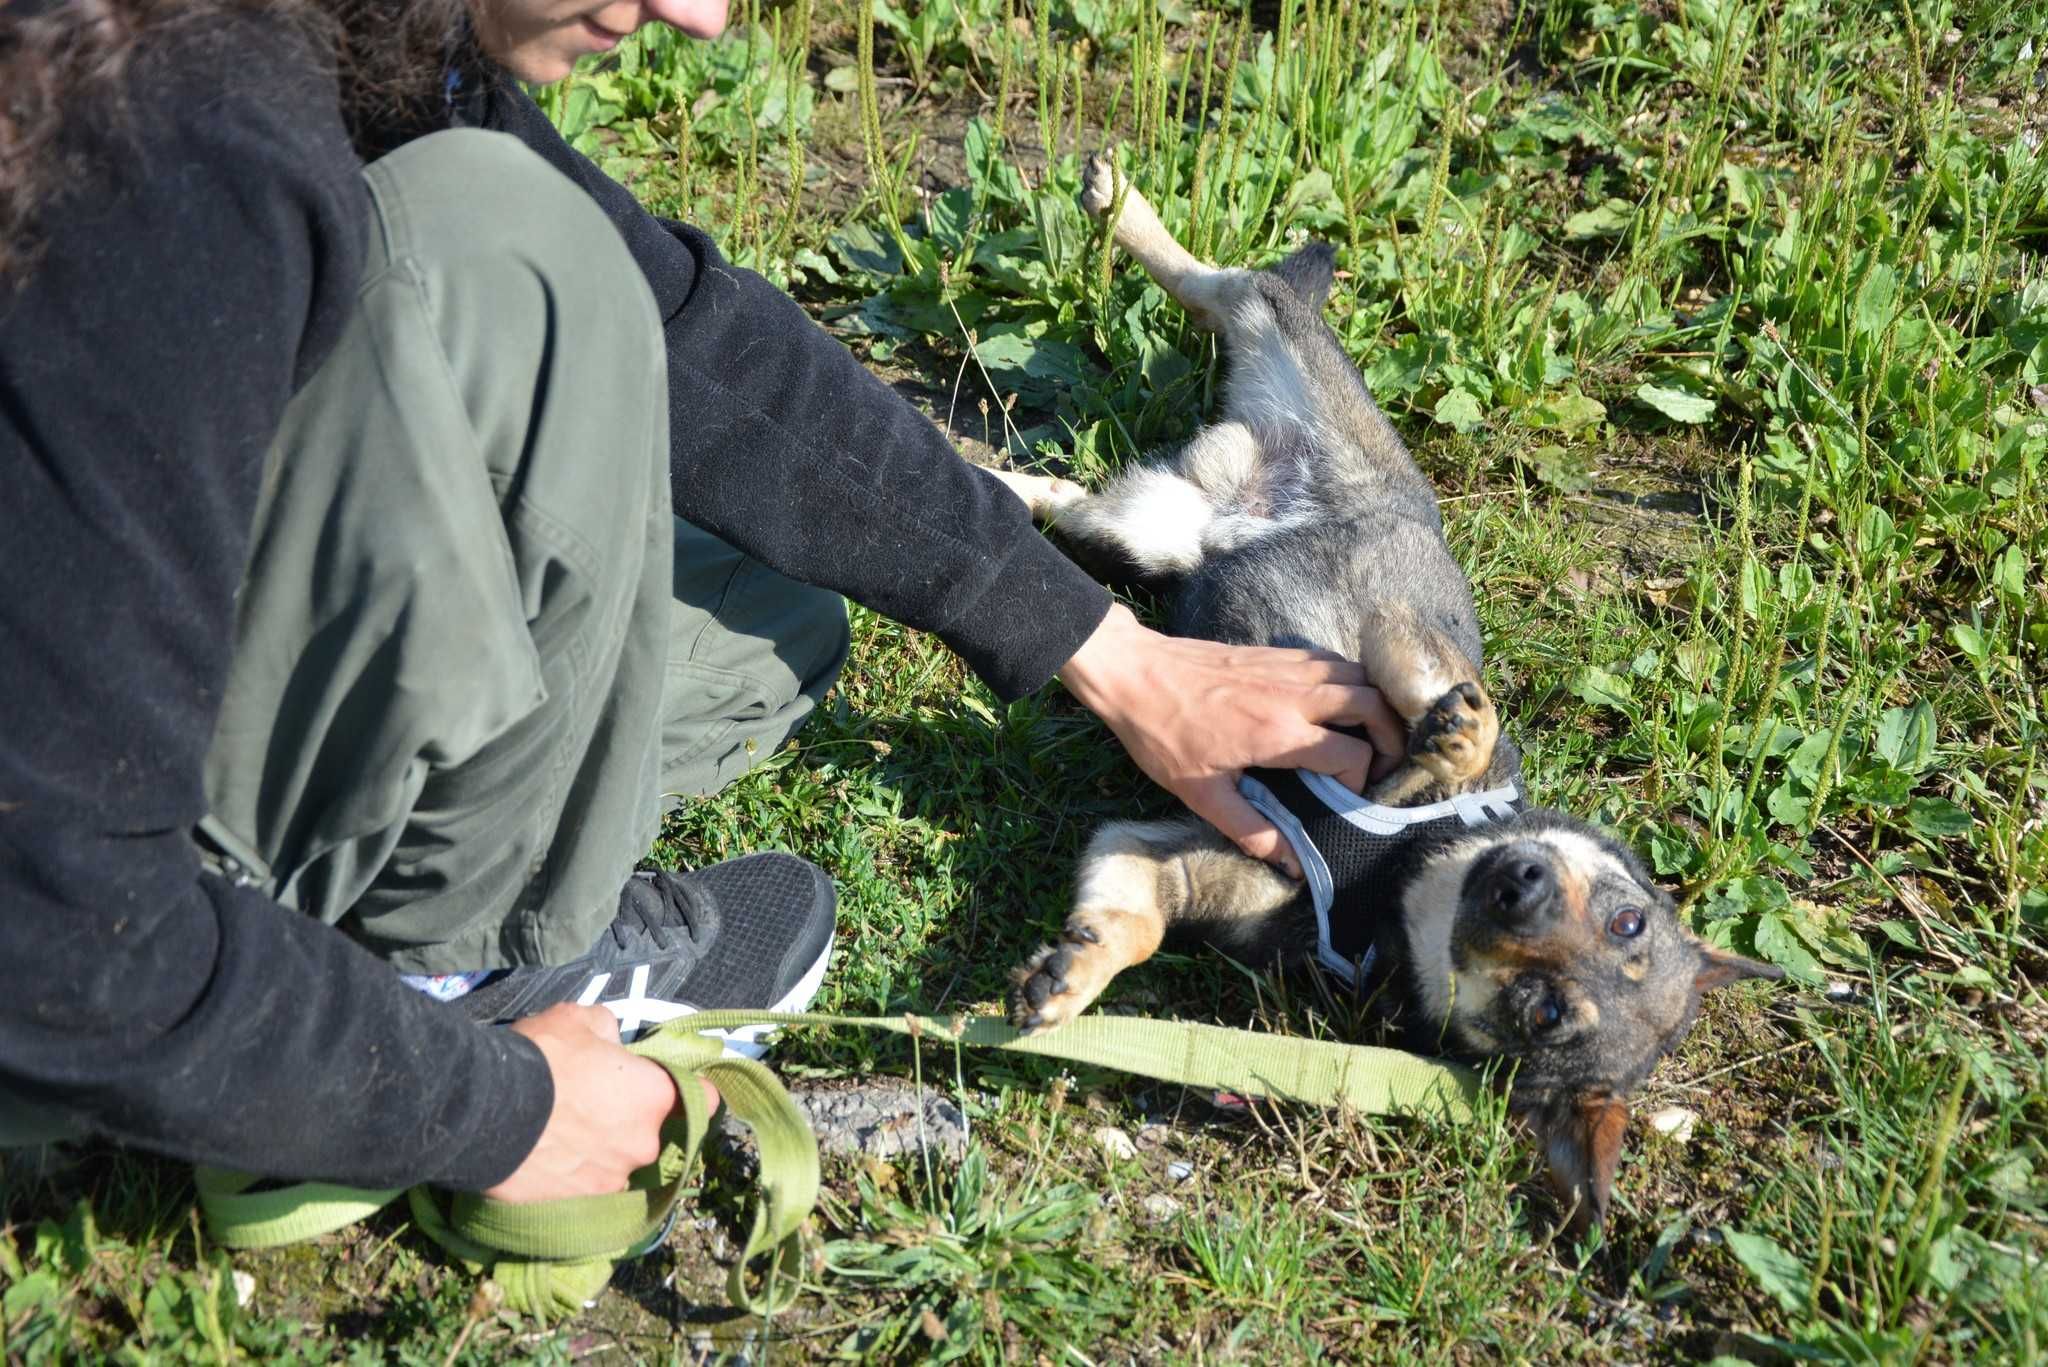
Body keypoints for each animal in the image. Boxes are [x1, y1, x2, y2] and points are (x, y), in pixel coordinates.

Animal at [978, 154, 1777, 1237]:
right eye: (1629, 923)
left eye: (1544, 1014)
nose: (1518, 879)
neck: (1405, 868)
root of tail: (1241, 500)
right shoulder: (1400, 648)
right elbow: (1455, 703)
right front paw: (1453, 739)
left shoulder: (1156, 853)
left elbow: (1132, 923)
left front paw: (1072, 977)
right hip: (1299, 375)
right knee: (1236, 286)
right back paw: (1121, 206)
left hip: (1147, 525)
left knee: (1070, 495)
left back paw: (992, 478)